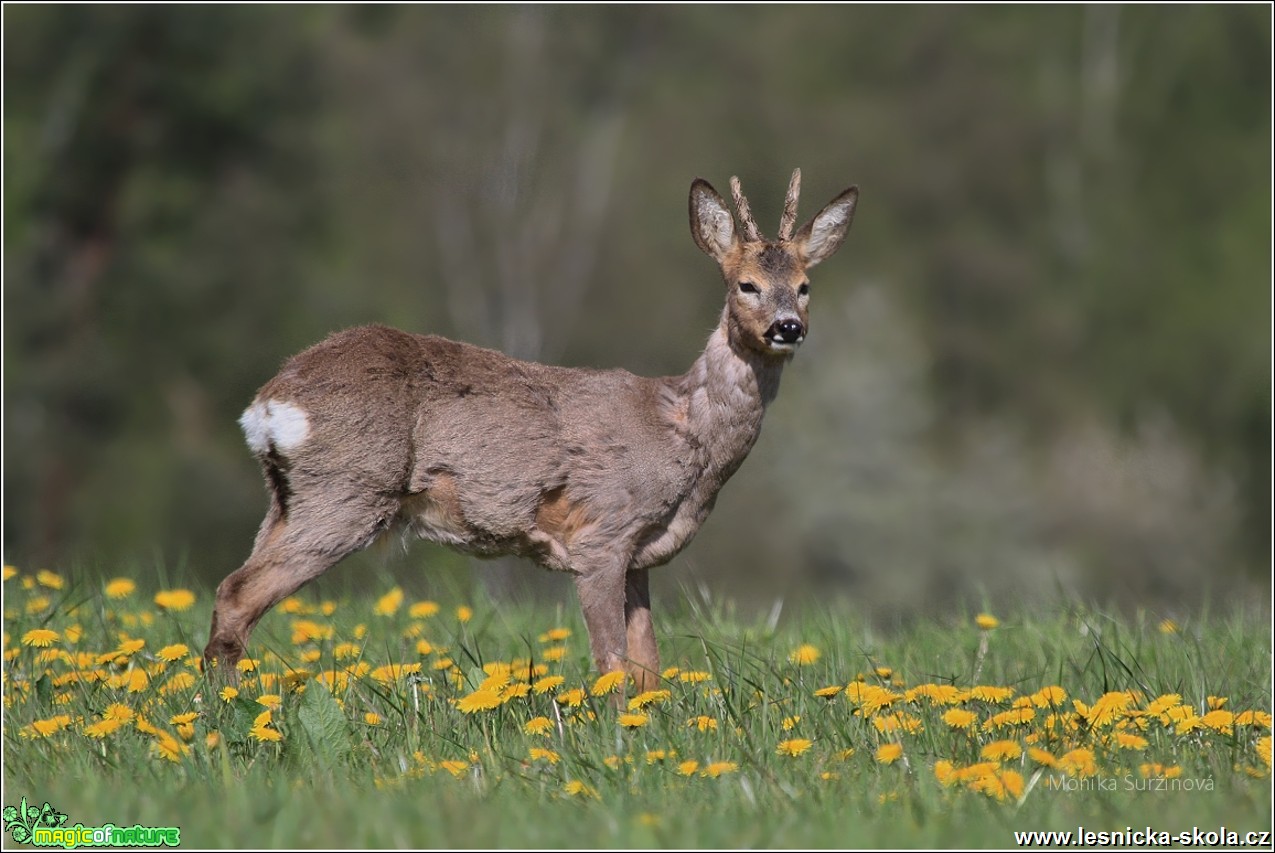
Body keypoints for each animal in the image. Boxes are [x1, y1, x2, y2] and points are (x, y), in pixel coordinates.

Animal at [206, 170, 856, 693]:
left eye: (805, 286)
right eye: (746, 284)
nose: (788, 327)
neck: (684, 434)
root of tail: (269, 400)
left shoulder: (640, 555)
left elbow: (649, 668)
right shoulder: (601, 534)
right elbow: (612, 665)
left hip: (288, 498)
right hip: (347, 490)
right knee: (238, 592)